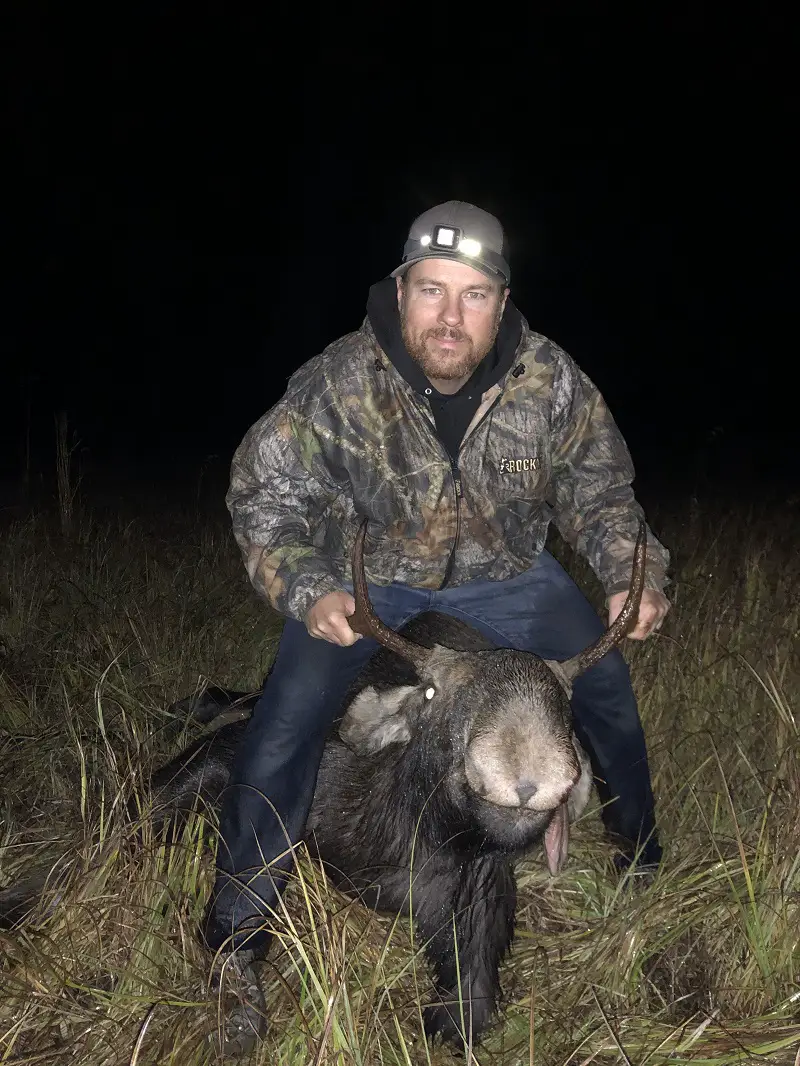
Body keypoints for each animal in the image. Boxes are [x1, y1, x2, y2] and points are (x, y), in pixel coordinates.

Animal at [0, 520, 648, 1044]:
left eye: (564, 703)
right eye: (433, 693)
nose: (527, 774)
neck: (394, 847)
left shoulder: (478, 910)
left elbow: (466, 1015)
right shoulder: (229, 763)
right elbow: (111, 836)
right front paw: (21, 901)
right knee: (221, 704)